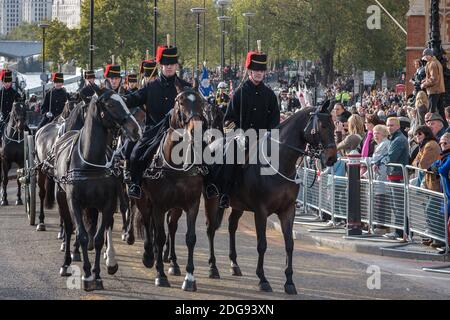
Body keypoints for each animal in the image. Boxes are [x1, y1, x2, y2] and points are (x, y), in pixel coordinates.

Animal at [54, 89, 142, 292]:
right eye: (110, 104)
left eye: (124, 101)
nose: (136, 130)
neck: (89, 161)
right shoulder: (74, 202)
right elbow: (82, 235)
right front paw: (86, 275)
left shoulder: (108, 202)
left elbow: (100, 236)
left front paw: (98, 274)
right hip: (61, 197)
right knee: (69, 227)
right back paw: (66, 263)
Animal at [202, 102, 336, 296]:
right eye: (323, 126)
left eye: (334, 126)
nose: (332, 157)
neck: (280, 164)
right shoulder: (261, 211)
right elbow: (262, 244)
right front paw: (263, 279)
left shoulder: (288, 210)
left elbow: (289, 244)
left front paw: (289, 282)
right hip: (210, 198)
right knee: (210, 229)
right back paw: (213, 268)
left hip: (238, 205)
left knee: (232, 226)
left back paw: (234, 264)